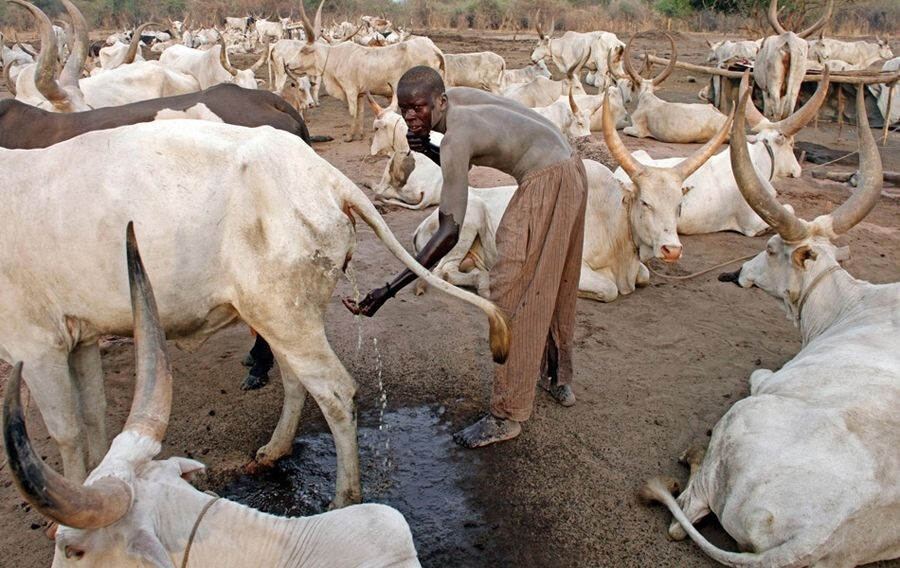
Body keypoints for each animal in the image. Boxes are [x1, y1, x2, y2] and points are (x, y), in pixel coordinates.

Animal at [0, 118, 510, 506]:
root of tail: (327, 177)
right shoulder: (79, 336)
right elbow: (93, 414)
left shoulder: (36, 345)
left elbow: (65, 430)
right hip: (279, 313)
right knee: (297, 382)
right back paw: (274, 450)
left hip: (285, 314)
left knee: (336, 392)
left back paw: (343, 499)